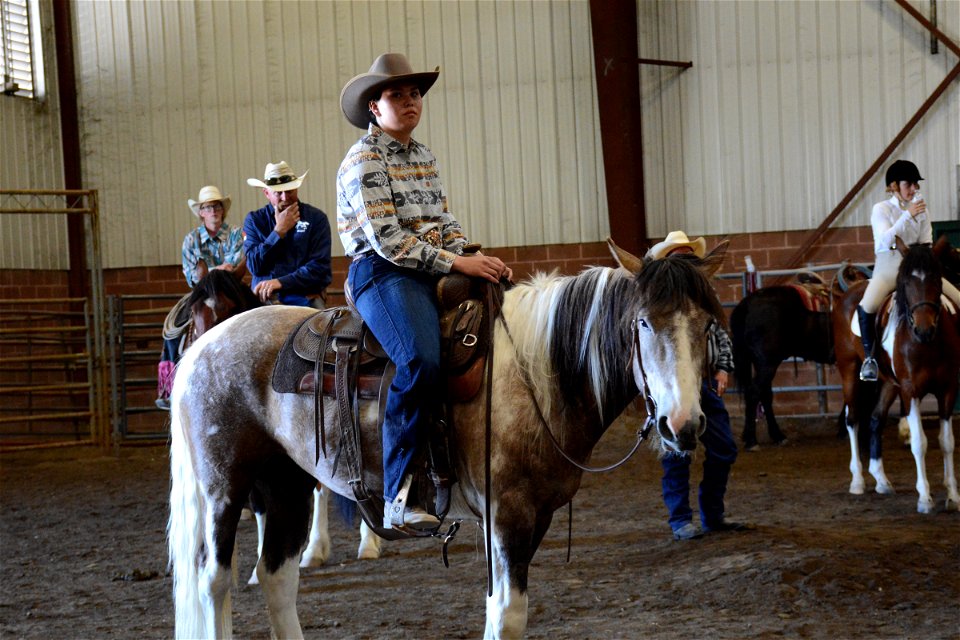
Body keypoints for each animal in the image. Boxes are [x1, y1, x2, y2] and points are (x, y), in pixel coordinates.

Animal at [167, 238, 728, 636]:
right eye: (642, 322)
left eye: (706, 326)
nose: (683, 425)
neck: (539, 373)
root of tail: (203, 347)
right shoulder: (508, 513)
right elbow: (508, 615)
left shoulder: (536, 516)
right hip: (224, 489)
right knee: (213, 582)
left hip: (285, 485)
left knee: (278, 579)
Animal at [728, 264, 872, 450]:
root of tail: (745, 305)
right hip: (767, 363)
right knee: (754, 392)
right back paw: (753, 441)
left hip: (762, 363)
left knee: (764, 395)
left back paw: (776, 435)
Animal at [832, 238, 960, 512]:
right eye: (906, 283)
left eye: (937, 279)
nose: (924, 329)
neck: (927, 344)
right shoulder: (911, 391)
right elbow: (919, 443)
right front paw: (925, 498)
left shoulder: (947, 389)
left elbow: (947, 442)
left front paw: (953, 496)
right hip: (849, 371)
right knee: (853, 419)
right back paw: (858, 481)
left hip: (890, 384)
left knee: (875, 419)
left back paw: (881, 480)